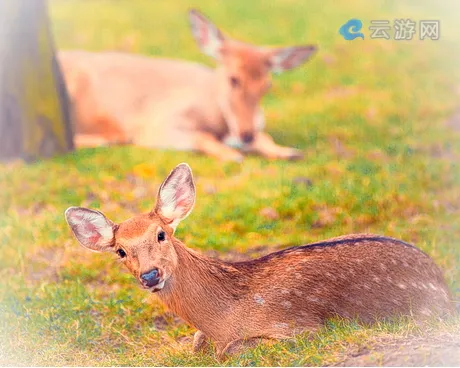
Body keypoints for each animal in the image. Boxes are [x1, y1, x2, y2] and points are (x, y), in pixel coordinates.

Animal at [56, 9, 316, 162]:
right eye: (233, 79)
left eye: (267, 86)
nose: (246, 135)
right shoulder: (158, 126)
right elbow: (202, 137)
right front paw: (231, 155)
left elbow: (266, 136)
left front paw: (289, 152)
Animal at [63, 162, 452, 358]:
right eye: (120, 251)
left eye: (161, 234)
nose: (150, 275)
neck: (225, 318)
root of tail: (445, 285)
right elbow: (197, 343)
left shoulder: (299, 327)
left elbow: (231, 351)